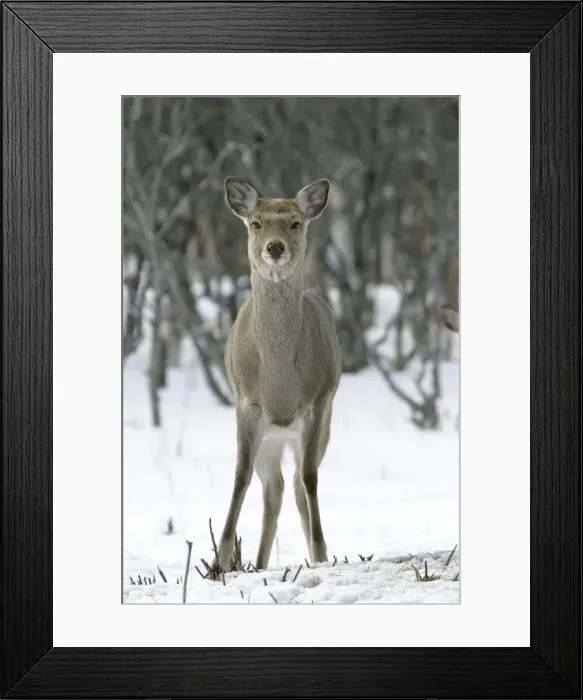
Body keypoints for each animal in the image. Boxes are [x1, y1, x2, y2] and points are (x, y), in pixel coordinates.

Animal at [215, 176, 342, 572]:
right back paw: (258, 563)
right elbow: (240, 475)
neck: (280, 382)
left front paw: (320, 550)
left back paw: (314, 554)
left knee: (298, 483)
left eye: (295, 223)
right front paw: (221, 558)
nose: (274, 247)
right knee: (274, 488)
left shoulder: (317, 403)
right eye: (256, 223)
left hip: (319, 426)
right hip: (269, 439)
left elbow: (311, 479)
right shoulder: (246, 404)